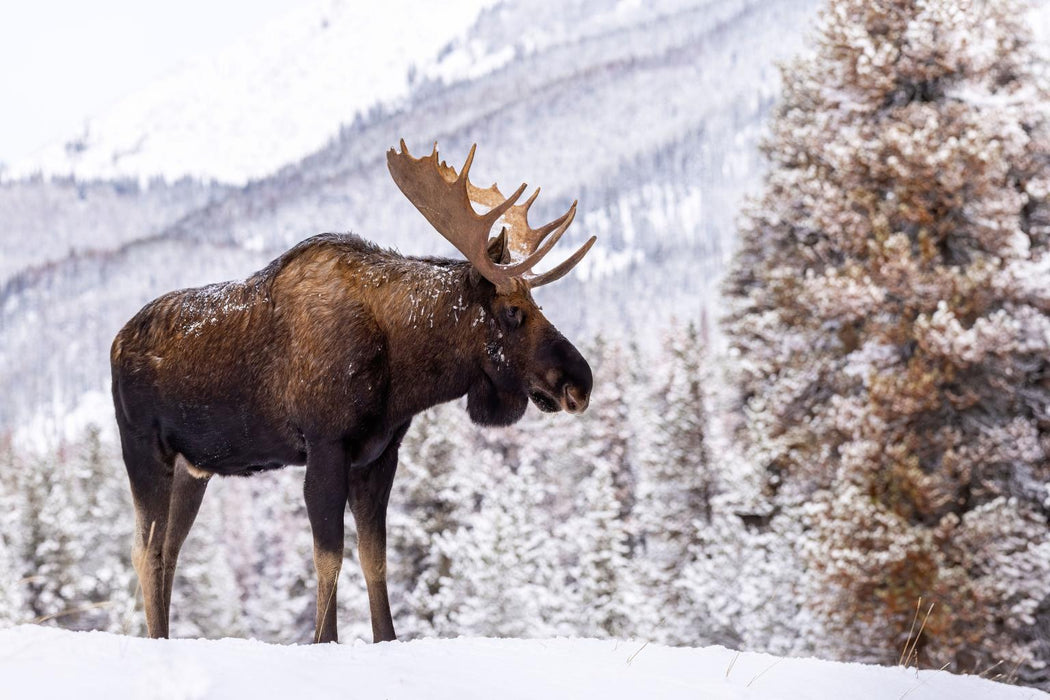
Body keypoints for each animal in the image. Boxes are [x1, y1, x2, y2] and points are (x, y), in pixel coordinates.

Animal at [110, 141, 596, 644]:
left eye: (537, 303)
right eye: (513, 311)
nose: (580, 382)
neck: (403, 369)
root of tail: (116, 342)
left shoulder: (379, 455)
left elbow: (374, 559)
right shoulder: (327, 445)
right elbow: (329, 559)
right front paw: (324, 639)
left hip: (194, 468)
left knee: (170, 550)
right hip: (144, 449)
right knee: (145, 551)